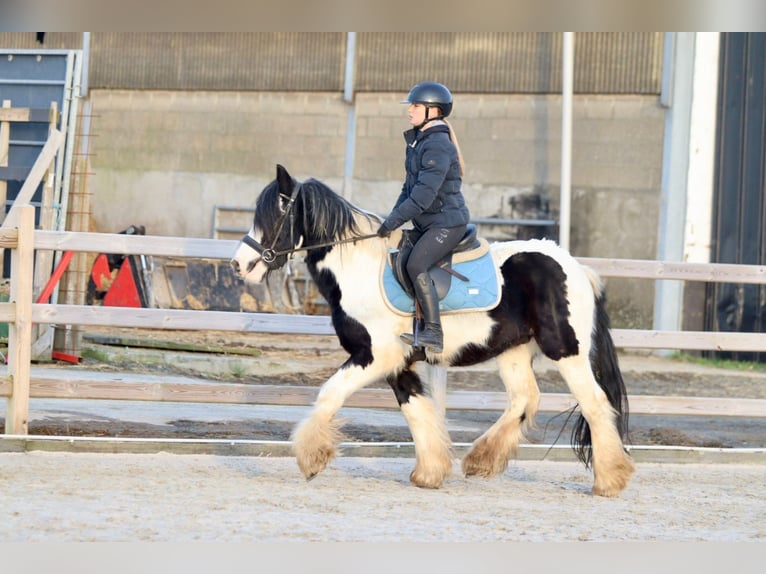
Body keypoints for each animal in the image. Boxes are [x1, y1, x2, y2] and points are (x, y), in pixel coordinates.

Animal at [230, 164, 636, 498]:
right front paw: (429, 473)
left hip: (565, 349)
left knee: (595, 402)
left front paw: (311, 457)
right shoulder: (398, 363)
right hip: (513, 350)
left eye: (278, 212)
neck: (359, 270)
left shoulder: (375, 356)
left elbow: (330, 394)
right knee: (524, 399)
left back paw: (609, 480)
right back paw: (480, 460)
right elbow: (417, 411)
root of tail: (577, 267)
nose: (239, 265)